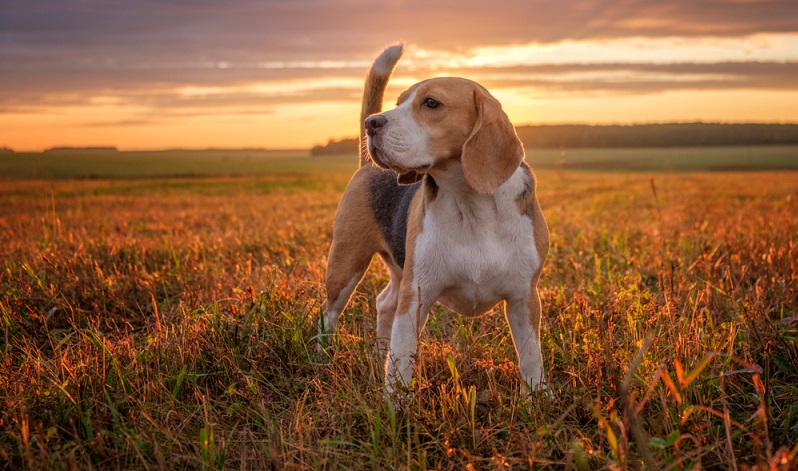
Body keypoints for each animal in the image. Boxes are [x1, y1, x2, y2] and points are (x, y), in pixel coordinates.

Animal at [318, 44, 552, 396]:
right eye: (398, 103)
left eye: (431, 103)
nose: (372, 123)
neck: (470, 204)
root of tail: (367, 165)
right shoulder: (417, 294)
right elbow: (402, 359)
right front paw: (394, 405)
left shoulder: (525, 297)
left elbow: (531, 357)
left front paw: (537, 398)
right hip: (346, 263)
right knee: (329, 315)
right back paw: (320, 358)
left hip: (397, 268)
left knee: (385, 302)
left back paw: (377, 354)